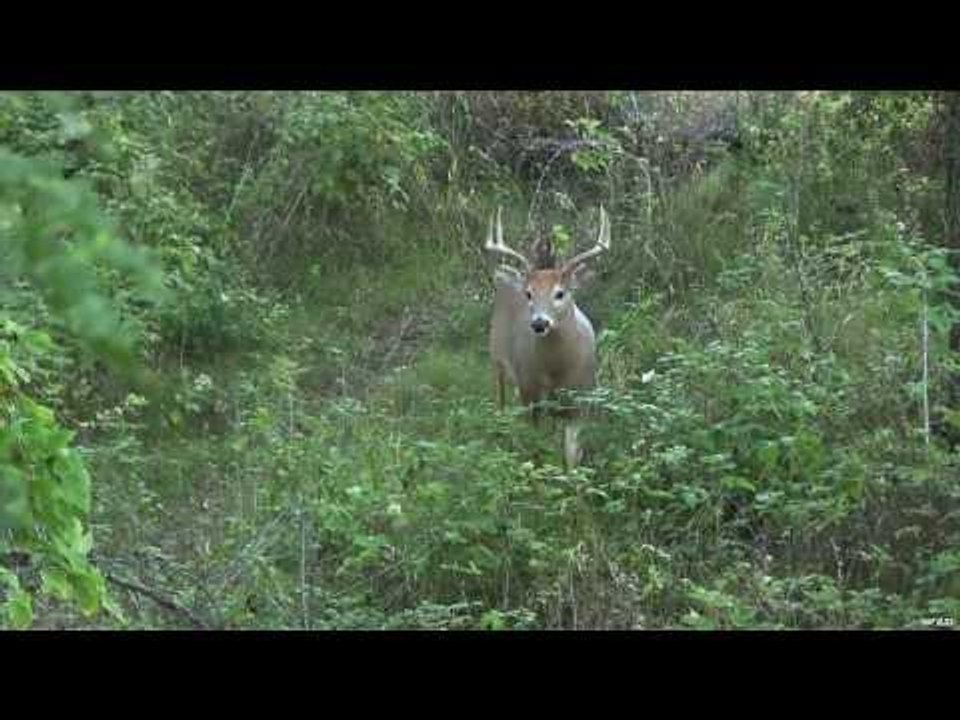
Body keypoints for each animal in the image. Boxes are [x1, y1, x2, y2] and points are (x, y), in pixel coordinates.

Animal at [483, 205, 611, 469]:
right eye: (528, 294)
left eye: (560, 293)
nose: (540, 323)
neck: (556, 371)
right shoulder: (530, 392)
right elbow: (537, 452)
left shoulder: (580, 399)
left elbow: (571, 457)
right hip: (496, 359)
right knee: (500, 404)